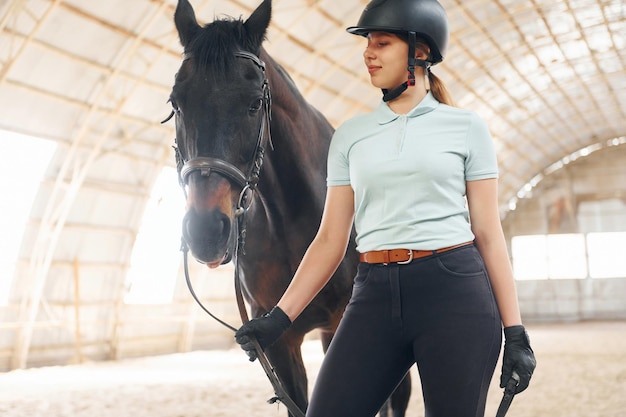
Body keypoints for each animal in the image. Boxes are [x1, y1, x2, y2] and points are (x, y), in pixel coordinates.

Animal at [166, 1, 410, 414]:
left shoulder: (347, 326)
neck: (290, 222)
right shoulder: (277, 339)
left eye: (253, 103)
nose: (206, 231)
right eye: (176, 103)